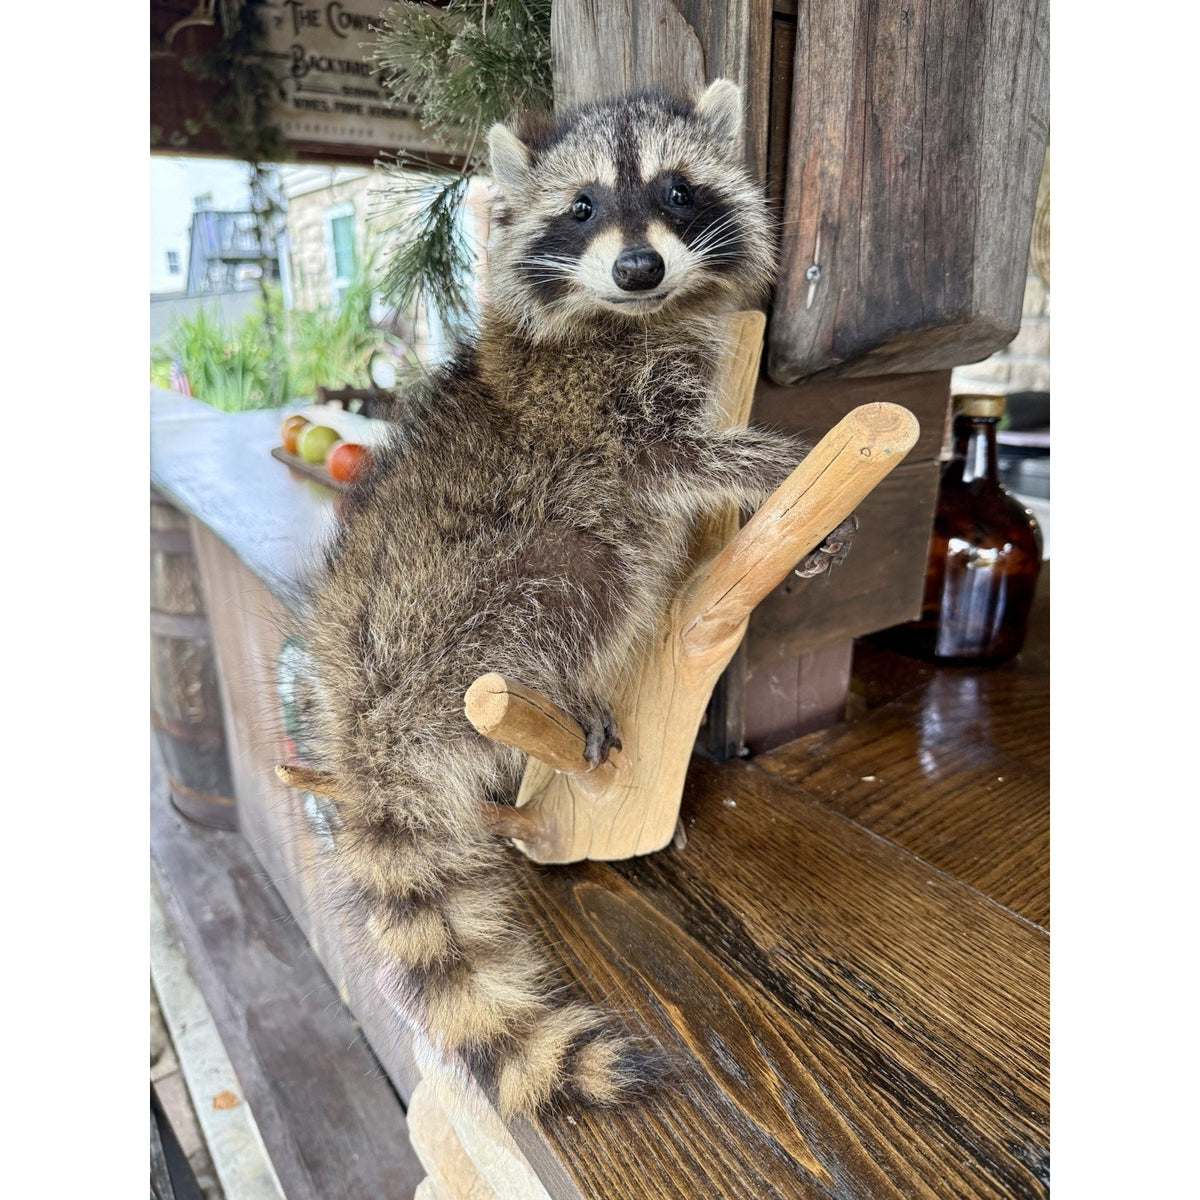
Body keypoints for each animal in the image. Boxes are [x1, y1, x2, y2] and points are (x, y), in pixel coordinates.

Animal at [297, 80, 853, 1119]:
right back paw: (562, 685)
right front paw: (774, 466)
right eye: (584, 206)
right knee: (592, 568)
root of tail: (360, 720)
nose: (639, 267)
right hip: (472, 607)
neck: (634, 316)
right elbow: (676, 459)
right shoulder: (600, 412)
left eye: (677, 191)